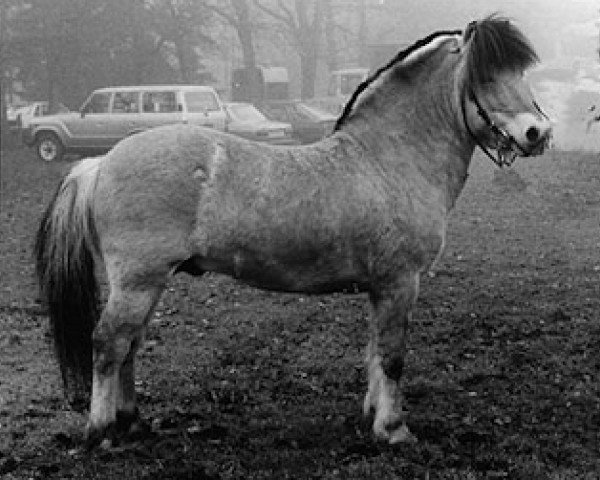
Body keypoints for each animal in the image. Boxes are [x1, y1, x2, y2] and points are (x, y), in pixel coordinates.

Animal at [35, 15, 552, 450]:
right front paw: (394, 429)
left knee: (130, 344)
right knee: (109, 343)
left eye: (521, 74)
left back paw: (132, 421)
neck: (389, 158)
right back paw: (102, 432)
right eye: (486, 76)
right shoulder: (400, 282)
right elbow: (392, 357)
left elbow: (373, 351)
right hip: (138, 280)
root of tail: (101, 162)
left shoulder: (381, 287)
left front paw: (372, 415)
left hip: (148, 283)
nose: (538, 133)